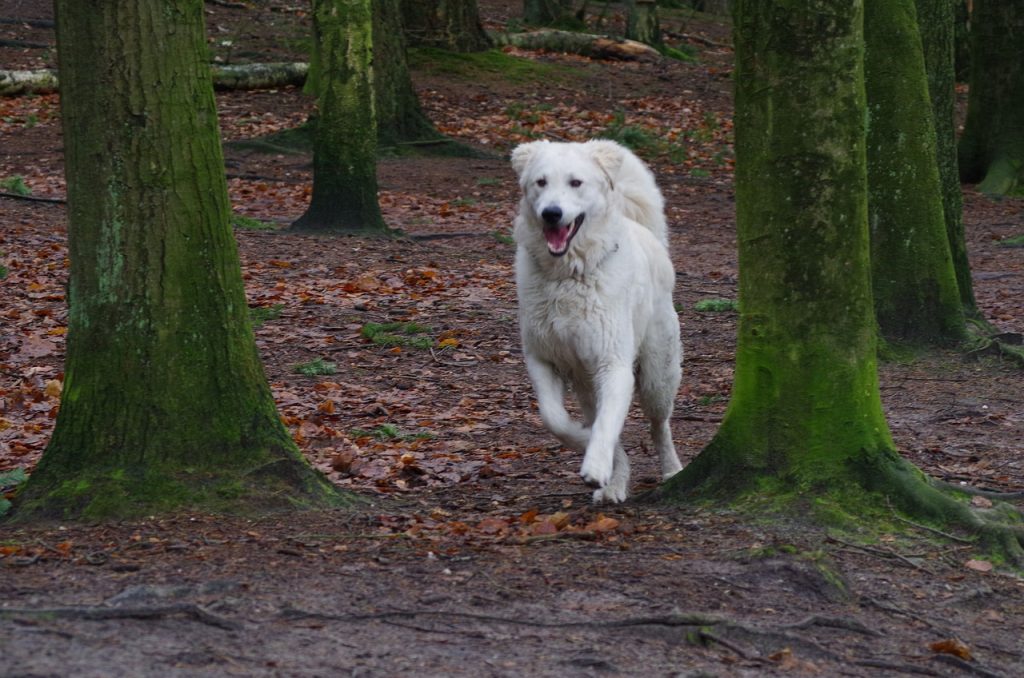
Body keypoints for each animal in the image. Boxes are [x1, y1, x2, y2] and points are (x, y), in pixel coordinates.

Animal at [509, 139, 684, 503]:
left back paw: (672, 470)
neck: (567, 276)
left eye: (575, 182)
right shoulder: (541, 358)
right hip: (587, 385)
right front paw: (585, 444)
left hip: (657, 377)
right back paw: (615, 483)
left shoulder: (613, 365)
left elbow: (607, 425)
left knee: (659, 426)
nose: (551, 213)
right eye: (541, 182)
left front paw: (596, 466)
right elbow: (555, 419)